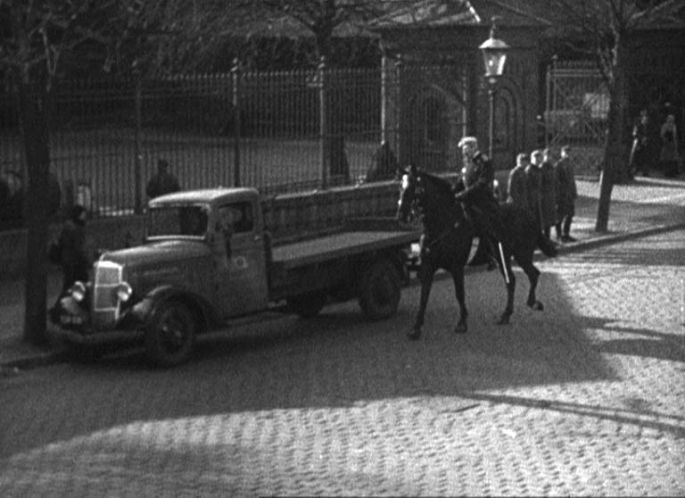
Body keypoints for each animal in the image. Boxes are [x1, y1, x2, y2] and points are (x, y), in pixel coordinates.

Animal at [396, 165, 556, 340]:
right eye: (400, 186)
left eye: (413, 187)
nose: (401, 215)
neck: (442, 223)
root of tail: (530, 215)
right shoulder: (428, 267)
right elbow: (424, 297)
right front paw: (416, 327)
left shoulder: (457, 267)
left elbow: (459, 293)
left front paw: (462, 323)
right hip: (503, 256)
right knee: (512, 280)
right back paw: (507, 314)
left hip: (522, 254)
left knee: (532, 274)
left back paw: (532, 303)